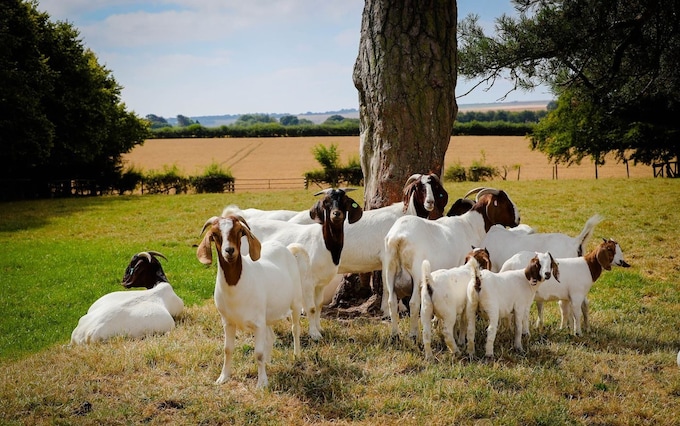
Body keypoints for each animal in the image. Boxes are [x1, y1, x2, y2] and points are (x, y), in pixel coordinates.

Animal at [197, 215, 308, 388]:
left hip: (295, 301)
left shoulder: (257, 323)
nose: (229, 251)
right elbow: (227, 349)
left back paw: (297, 355)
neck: (236, 288)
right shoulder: (228, 322)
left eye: (239, 231)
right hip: (266, 315)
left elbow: (258, 353)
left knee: (295, 329)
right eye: (214, 234)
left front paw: (262, 383)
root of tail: (288, 250)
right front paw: (223, 377)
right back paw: (269, 362)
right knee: (271, 337)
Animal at [382, 186, 520, 340]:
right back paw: (413, 335)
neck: (470, 225)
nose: (518, 219)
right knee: (413, 303)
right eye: (505, 202)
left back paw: (395, 335)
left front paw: (436, 321)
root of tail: (398, 238)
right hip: (416, 273)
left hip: (389, 269)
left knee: (391, 302)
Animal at [500, 238, 632, 334]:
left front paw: (563, 329)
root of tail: (510, 262)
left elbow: (565, 312)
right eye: (610, 249)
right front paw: (578, 333)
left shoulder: (566, 297)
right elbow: (577, 314)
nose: (622, 262)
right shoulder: (577, 294)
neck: (587, 266)